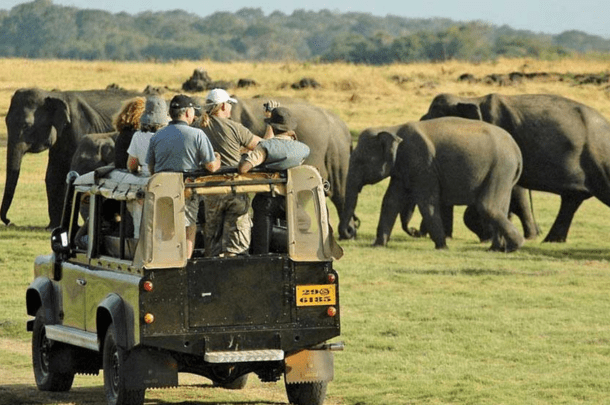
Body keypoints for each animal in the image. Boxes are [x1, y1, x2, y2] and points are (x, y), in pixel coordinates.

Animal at [2, 87, 141, 227]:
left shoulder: (79, 128)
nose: (9, 222)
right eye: (6, 122)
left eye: (26, 126)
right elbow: (53, 174)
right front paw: (53, 227)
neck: (54, 95)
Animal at [338, 115, 524, 251]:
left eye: (360, 161)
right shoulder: (402, 169)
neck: (393, 128)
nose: (350, 231)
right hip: (504, 174)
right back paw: (497, 249)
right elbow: (390, 201)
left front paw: (442, 247)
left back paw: (517, 244)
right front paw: (377, 245)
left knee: (487, 206)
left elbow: (426, 202)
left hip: (500, 168)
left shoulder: (423, 164)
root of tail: (517, 151)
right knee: (501, 207)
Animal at [420, 92, 610, 241]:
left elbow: (515, 191)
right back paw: (551, 240)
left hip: (598, 159)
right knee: (571, 199)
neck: (471, 99)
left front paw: (491, 234)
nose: (417, 233)